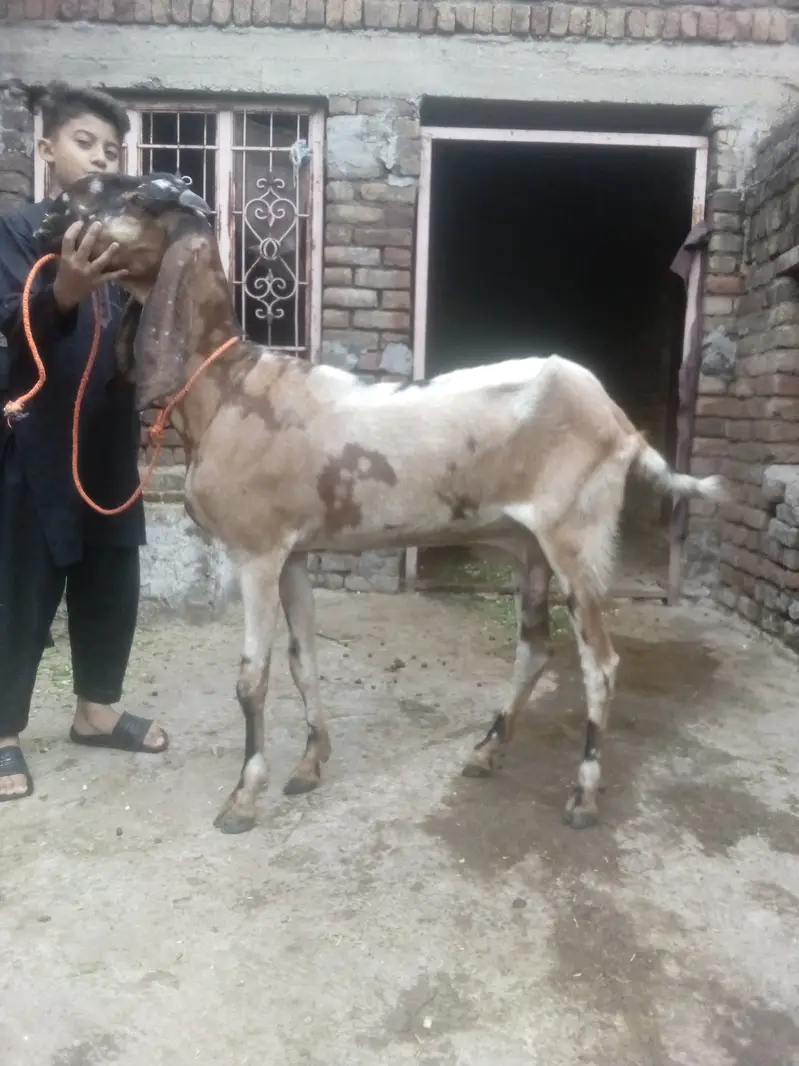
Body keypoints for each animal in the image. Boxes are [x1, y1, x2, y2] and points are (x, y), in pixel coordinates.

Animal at [35, 172, 728, 835]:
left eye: (134, 194)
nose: (49, 211)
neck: (228, 387)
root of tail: (619, 422)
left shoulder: (255, 551)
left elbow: (252, 678)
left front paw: (243, 797)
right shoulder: (292, 553)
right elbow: (303, 660)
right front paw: (310, 765)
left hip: (576, 536)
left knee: (600, 662)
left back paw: (582, 796)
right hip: (528, 546)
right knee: (535, 647)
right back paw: (487, 750)